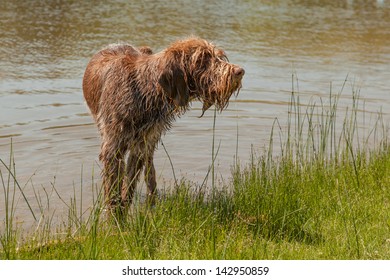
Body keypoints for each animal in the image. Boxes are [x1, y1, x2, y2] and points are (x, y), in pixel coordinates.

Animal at [82, 37, 244, 209]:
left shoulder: (141, 145)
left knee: (149, 172)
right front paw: (116, 214)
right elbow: (114, 192)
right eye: (201, 59)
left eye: (218, 56)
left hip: (149, 146)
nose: (239, 72)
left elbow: (130, 184)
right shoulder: (113, 149)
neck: (143, 89)